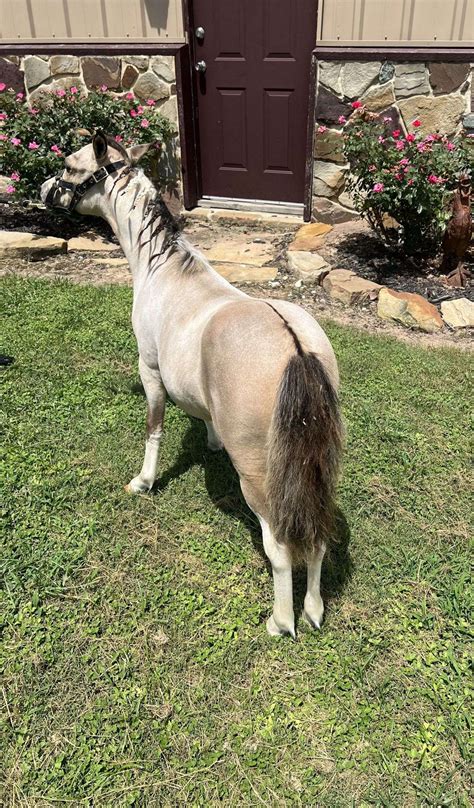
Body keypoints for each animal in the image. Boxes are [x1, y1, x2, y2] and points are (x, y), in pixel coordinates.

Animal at [41, 131, 343, 639]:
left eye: (69, 164)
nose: (43, 189)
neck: (164, 270)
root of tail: (297, 350)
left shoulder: (149, 370)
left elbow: (154, 430)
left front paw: (144, 482)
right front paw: (211, 442)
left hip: (260, 478)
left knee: (281, 548)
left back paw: (282, 621)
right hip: (317, 469)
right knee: (318, 537)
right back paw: (314, 611)